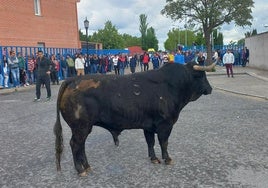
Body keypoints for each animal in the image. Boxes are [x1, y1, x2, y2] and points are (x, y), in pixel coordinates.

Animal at [54, 62, 216, 176]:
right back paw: (80, 170)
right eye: (202, 76)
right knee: (75, 145)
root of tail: (73, 79)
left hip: (83, 128)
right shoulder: (165, 124)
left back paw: (87, 166)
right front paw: (167, 159)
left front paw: (154, 158)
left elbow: (150, 142)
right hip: (81, 127)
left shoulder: (149, 126)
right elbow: (164, 142)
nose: (210, 89)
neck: (173, 85)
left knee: (81, 146)